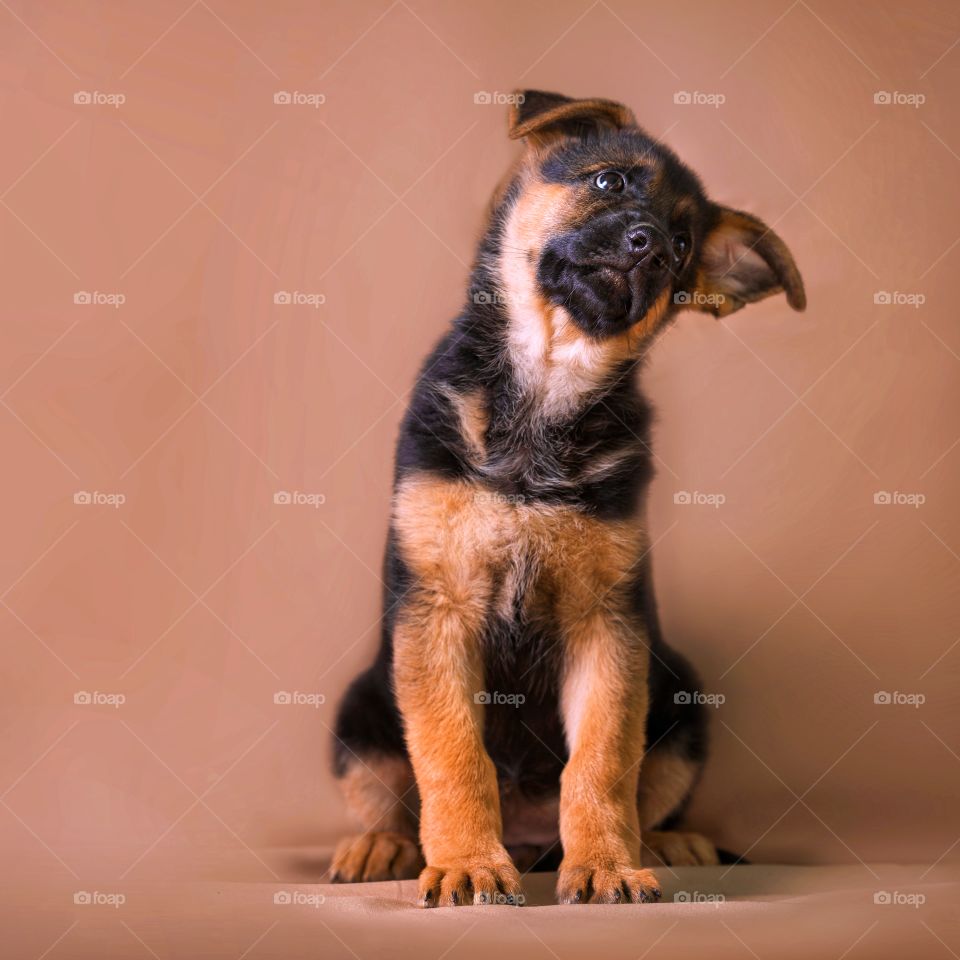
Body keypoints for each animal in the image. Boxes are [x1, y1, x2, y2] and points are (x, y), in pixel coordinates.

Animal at [328, 92, 804, 908]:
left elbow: (603, 762)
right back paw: (384, 847)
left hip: (681, 698)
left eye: (685, 244)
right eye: (610, 181)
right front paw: (466, 863)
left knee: (650, 790)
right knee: (388, 792)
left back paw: (664, 842)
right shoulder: (438, 613)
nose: (653, 248)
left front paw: (607, 865)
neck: (548, 385)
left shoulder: (607, 626)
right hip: (360, 708)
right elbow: (452, 752)